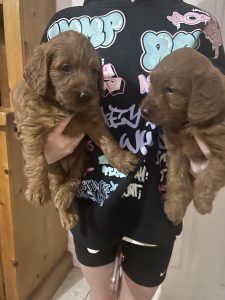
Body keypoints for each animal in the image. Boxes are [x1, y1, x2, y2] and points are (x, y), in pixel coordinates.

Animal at [13, 30, 139, 230]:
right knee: (57, 186)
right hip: (54, 170)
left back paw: (65, 198)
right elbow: (35, 159)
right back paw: (65, 210)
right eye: (65, 68)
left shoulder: (93, 119)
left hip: (80, 160)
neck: (62, 106)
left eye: (94, 70)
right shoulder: (31, 127)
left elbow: (108, 141)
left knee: (73, 180)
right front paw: (37, 190)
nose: (86, 95)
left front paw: (122, 158)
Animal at [142, 47, 225, 225]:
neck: (186, 124)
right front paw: (174, 207)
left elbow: (207, 178)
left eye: (171, 90)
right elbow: (176, 179)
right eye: (151, 83)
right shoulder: (175, 151)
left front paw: (202, 204)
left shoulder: (221, 152)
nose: (143, 111)